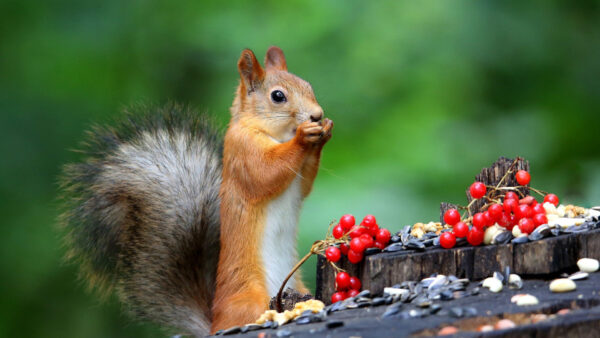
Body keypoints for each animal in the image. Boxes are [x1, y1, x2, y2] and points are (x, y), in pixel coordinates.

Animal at [59, 45, 332, 336]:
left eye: (308, 86)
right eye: (278, 96)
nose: (316, 114)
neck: (276, 134)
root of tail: (214, 325)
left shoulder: (297, 178)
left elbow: (304, 185)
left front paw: (323, 132)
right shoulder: (242, 152)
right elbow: (265, 173)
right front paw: (304, 136)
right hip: (250, 299)